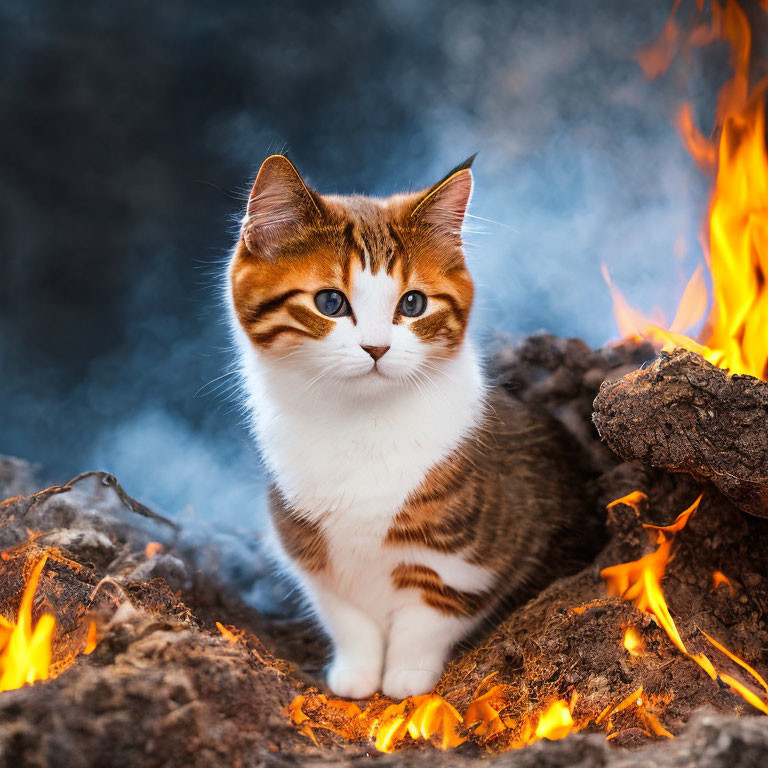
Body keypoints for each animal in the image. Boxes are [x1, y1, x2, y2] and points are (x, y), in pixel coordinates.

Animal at [228, 156, 592, 704]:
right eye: (330, 302)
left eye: (413, 303)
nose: (377, 348)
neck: (362, 422)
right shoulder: (308, 546)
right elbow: (346, 615)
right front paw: (357, 672)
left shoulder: (470, 556)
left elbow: (431, 612)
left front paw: (406, 676)